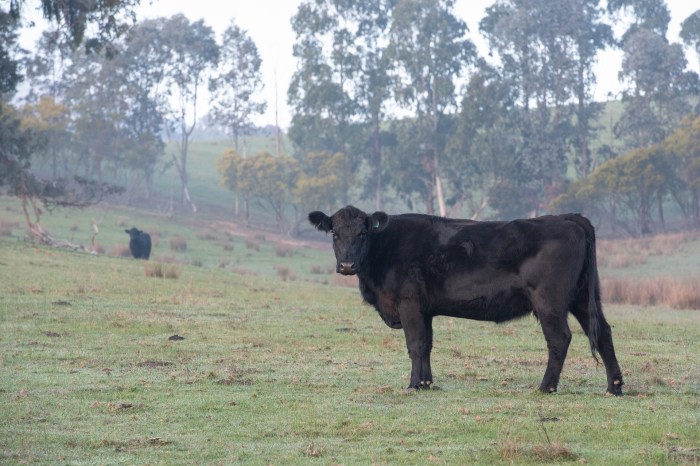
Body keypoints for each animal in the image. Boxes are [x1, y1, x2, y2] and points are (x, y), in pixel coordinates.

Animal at [309, 205, 624, 396]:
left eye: (363, 233)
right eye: (335, 233)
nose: (347, 265)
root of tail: (567, 217)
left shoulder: (409, 302)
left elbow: (415, 344)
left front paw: (414, 385)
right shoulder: (425, 310)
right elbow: (427, 345)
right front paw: (427, 382)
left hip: (550, 301)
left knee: (559, 339)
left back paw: (545, 387)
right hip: (583, 297)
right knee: (604, 333)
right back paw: (615, 386)